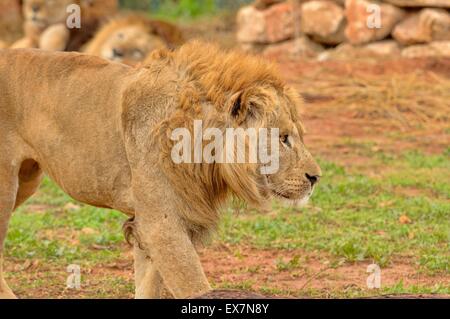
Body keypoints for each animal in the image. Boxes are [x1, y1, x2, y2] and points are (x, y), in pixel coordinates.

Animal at [0, 42, 324, 300]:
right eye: (283, 138)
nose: (315, 178)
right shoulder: (162, 224)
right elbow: (193, 285)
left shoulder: (152, 221)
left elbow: (148, 283)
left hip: (27, 179)